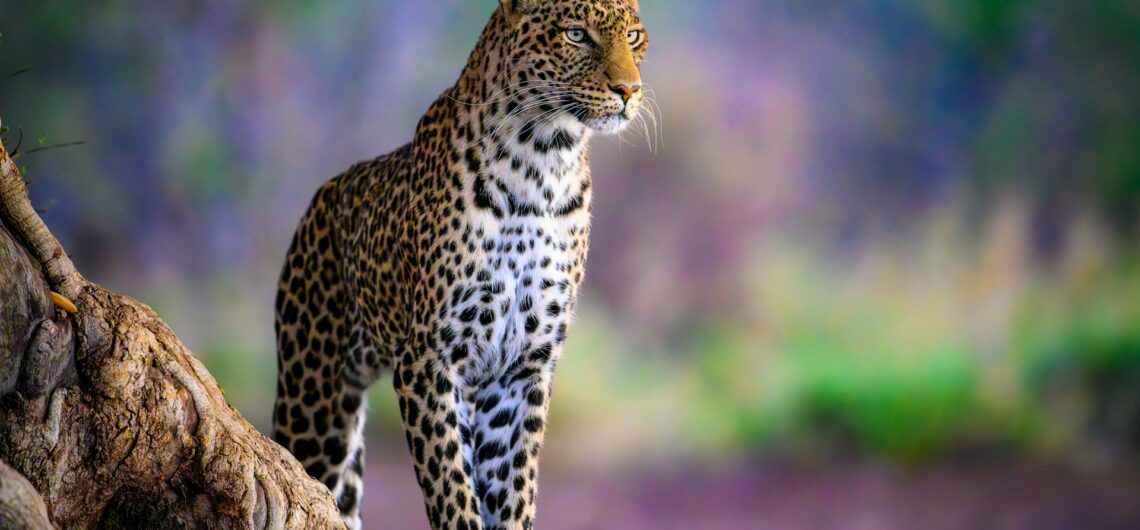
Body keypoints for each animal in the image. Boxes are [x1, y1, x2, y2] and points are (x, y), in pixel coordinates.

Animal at [271, 1, 648, 528]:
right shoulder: (429, 359)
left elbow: (513, 489)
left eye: (633, 36)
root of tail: (320, 199)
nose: (629, 91)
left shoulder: (522, 368)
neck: (542, 163)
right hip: (315, 398)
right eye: (576, 35)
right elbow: (451, 486)